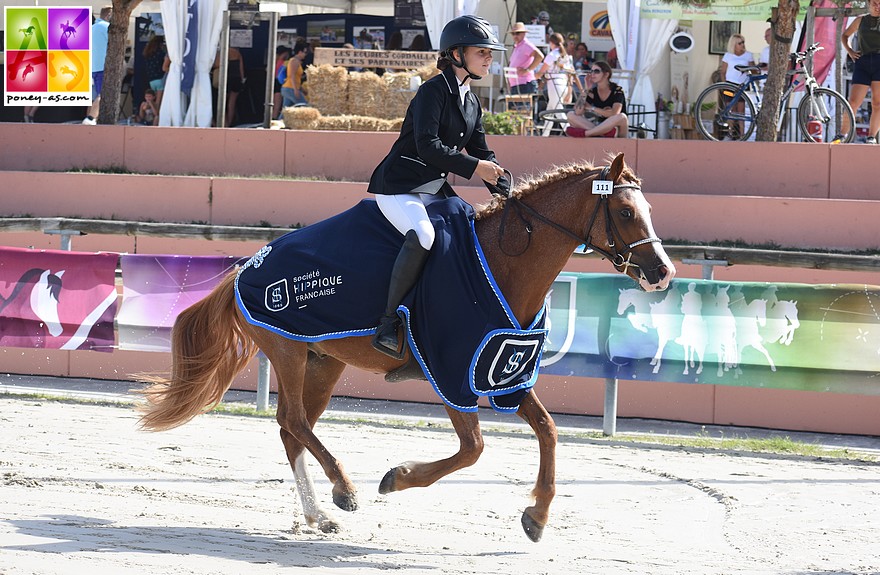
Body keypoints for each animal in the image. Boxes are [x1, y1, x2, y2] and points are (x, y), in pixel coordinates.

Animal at [138, 153, 672, 544]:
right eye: (626, 212)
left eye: (648, 212)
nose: (662, 272)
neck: (504, 262)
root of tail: (245, 268)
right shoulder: (452, 371)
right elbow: (473, 448)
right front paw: (397, 477)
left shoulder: (504, 372)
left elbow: (548, 430)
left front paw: (537, 516)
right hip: (288, 351)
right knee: (292, 420)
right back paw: (344, 491)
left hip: (322, 362)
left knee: (295, 429)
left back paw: (318, 515)